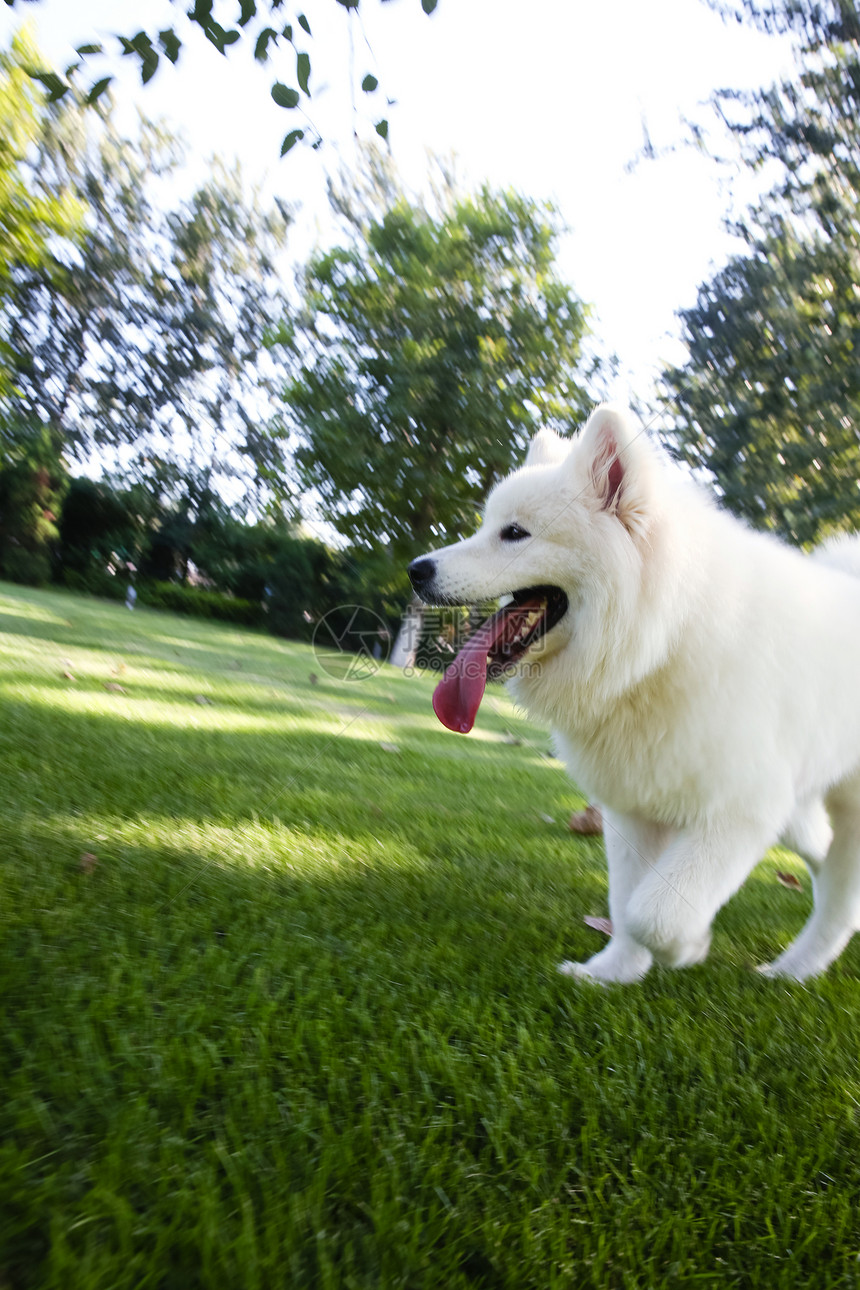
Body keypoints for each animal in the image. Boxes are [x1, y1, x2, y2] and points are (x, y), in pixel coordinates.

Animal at [407, 407, 860, 980]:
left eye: (514, 533)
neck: (659, 645)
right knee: (829, 865)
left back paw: (794, 969)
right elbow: (626, 905)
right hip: (801, 810)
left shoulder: (739, 810)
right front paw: (611, 974)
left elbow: (655, 912)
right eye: (487, 526)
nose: (416, 570)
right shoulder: (633, 807)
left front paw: (687, 948)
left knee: (840, 897)